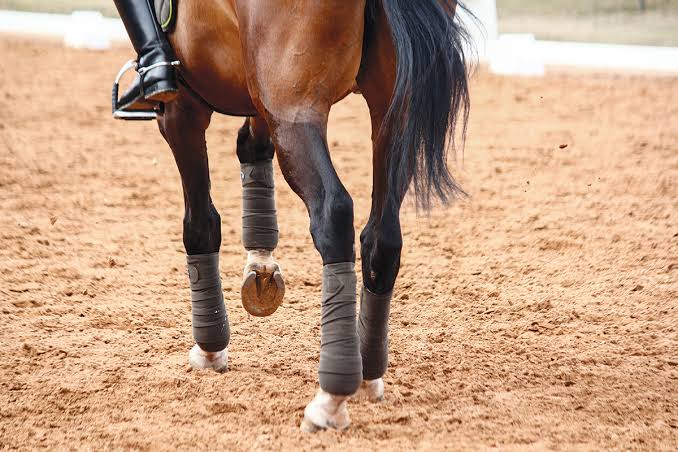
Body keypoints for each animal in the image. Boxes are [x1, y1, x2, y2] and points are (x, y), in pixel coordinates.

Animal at [147, 0, 470, 431]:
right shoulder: (258, 94)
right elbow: (252, 145)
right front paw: (261, 267)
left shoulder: (181, 108)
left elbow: (200, 224)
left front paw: (211, 348)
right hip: (391, 112)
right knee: (382, 238)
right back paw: (366, 373)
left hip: (295, 109)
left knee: (333, 213)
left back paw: (331, 396)